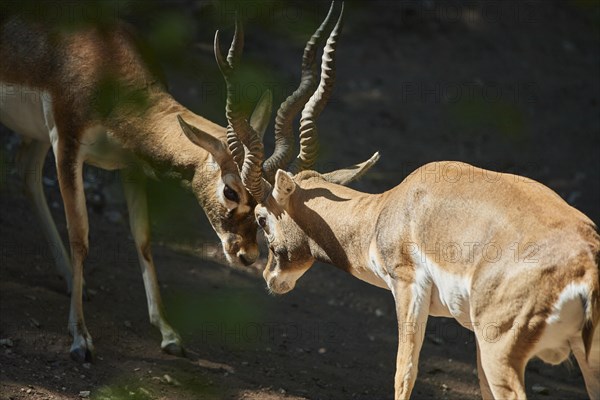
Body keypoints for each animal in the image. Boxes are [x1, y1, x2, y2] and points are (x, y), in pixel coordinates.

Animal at [0, 1, 338, 360]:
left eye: (263, 205)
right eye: (231, 191)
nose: (246, 255)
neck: (106, 66)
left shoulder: (130, 166)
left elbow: (144, 238)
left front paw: (168, 332)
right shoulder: (67, 145)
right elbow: (80, 237)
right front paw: (79, 337)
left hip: (38, 136)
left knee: (26, 172)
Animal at [220, 5, 600, 400]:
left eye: (262, 217)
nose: (269, 276)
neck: (386, 212)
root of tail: (585, 264)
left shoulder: (407, 287)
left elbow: (404, 372)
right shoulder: (472, 335)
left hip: (502, 351)